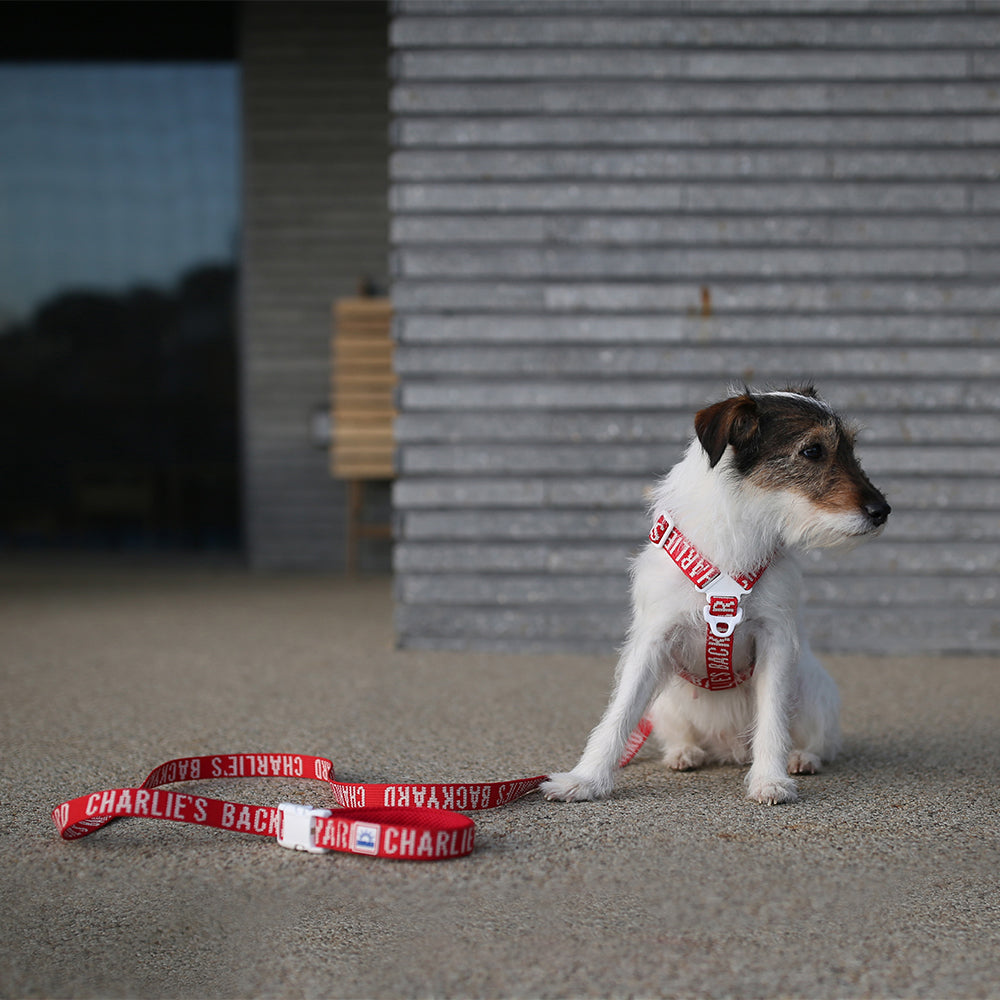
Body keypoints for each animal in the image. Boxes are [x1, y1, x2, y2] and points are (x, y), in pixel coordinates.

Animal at [544, 384, 896, 804]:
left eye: (851, 448)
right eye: (813, 450)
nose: (883, 511)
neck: (744, 527)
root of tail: (730, 750)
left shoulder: (775, 639)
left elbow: (772, 717)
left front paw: (770, 779)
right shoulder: (653, 639)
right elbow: (619, 714)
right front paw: (585, 779)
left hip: (813, 691)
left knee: (819, 742)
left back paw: (801, 758)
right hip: (665, 705)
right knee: (677, 734)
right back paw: (684, 752)